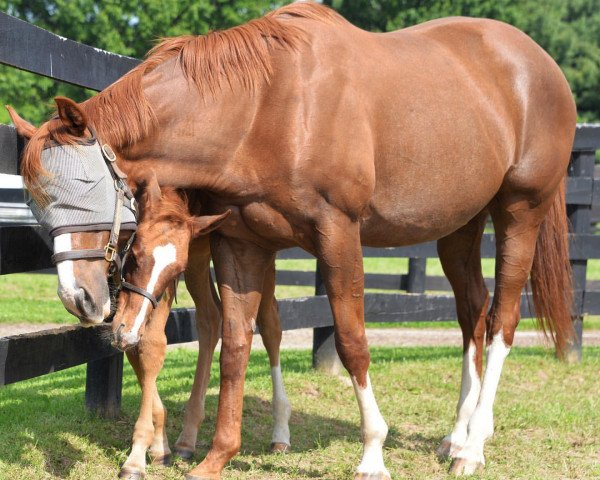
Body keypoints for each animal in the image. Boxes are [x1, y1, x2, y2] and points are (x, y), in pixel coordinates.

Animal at [112, 176, 290, 480]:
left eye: (174, 271)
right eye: (133, 256)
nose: (125, 332)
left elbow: (151, 345)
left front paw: (137, 458)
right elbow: (138, 347)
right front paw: (159, 446)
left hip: (253, 255)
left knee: (270, 325)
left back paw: (280, 433)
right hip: (201, 256)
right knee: (211, 318)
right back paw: (186, 439)